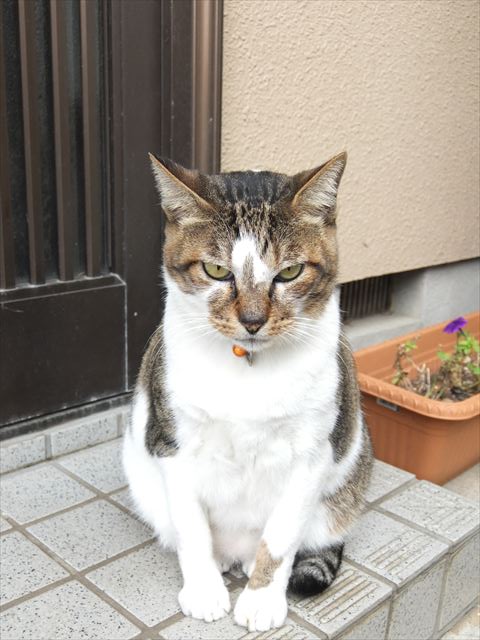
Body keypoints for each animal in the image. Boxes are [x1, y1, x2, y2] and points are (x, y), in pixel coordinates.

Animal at [123, 151, 372, 636]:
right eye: (217, 270)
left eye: (290, 272)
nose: (253, 321)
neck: (248, 366)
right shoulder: (172, 443)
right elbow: (193, 529)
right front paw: (203, 590)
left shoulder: (313, 454)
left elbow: (279, 539)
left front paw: (261, 601)